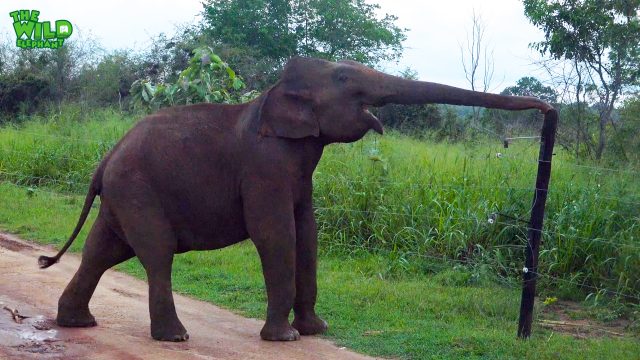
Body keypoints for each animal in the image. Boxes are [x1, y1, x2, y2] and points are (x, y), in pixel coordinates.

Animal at [37, 57, 552, 344]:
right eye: (344, 77)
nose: (548, 109)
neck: (275, 91)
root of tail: (106, 157)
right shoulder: (265, 166)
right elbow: (276, 234)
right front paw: (284, 338)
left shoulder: (300, 175)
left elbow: (308, 233)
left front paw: (315, 330)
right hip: (138, 189)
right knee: (155, 254)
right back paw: (175, 337)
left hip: (126, 193)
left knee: (104, 250)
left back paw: (77, 324)